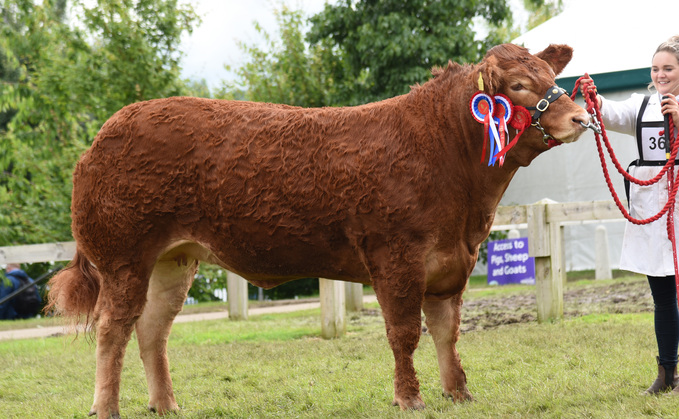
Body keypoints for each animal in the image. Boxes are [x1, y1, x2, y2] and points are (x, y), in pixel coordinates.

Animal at [46, 42, 588, 416]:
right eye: (517, 86)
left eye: (551, 76)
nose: (582, 116)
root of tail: (106, 132)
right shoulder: (397, 257)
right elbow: (404, 333)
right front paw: (409, 398)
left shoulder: (451, 263)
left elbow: (446, 333)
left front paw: (459, 392)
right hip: (123, 259)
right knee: (112, 330)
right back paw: (106, 407)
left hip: (173, 261)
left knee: (152, 330)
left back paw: (166, 404)